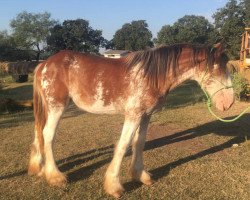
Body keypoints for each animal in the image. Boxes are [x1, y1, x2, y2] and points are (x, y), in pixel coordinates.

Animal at [28, 43, 234, 198]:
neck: (151, 75)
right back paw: (55, 177)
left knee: (39, 133)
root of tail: (44, 64)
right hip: (56, 107)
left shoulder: (146, 115)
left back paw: (38, 167)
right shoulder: (133, 115)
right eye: (218, 69)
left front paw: (140, 175)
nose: (229, 102)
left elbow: (139, 143)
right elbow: (123, 145)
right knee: (48, 135)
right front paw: (114, 186)